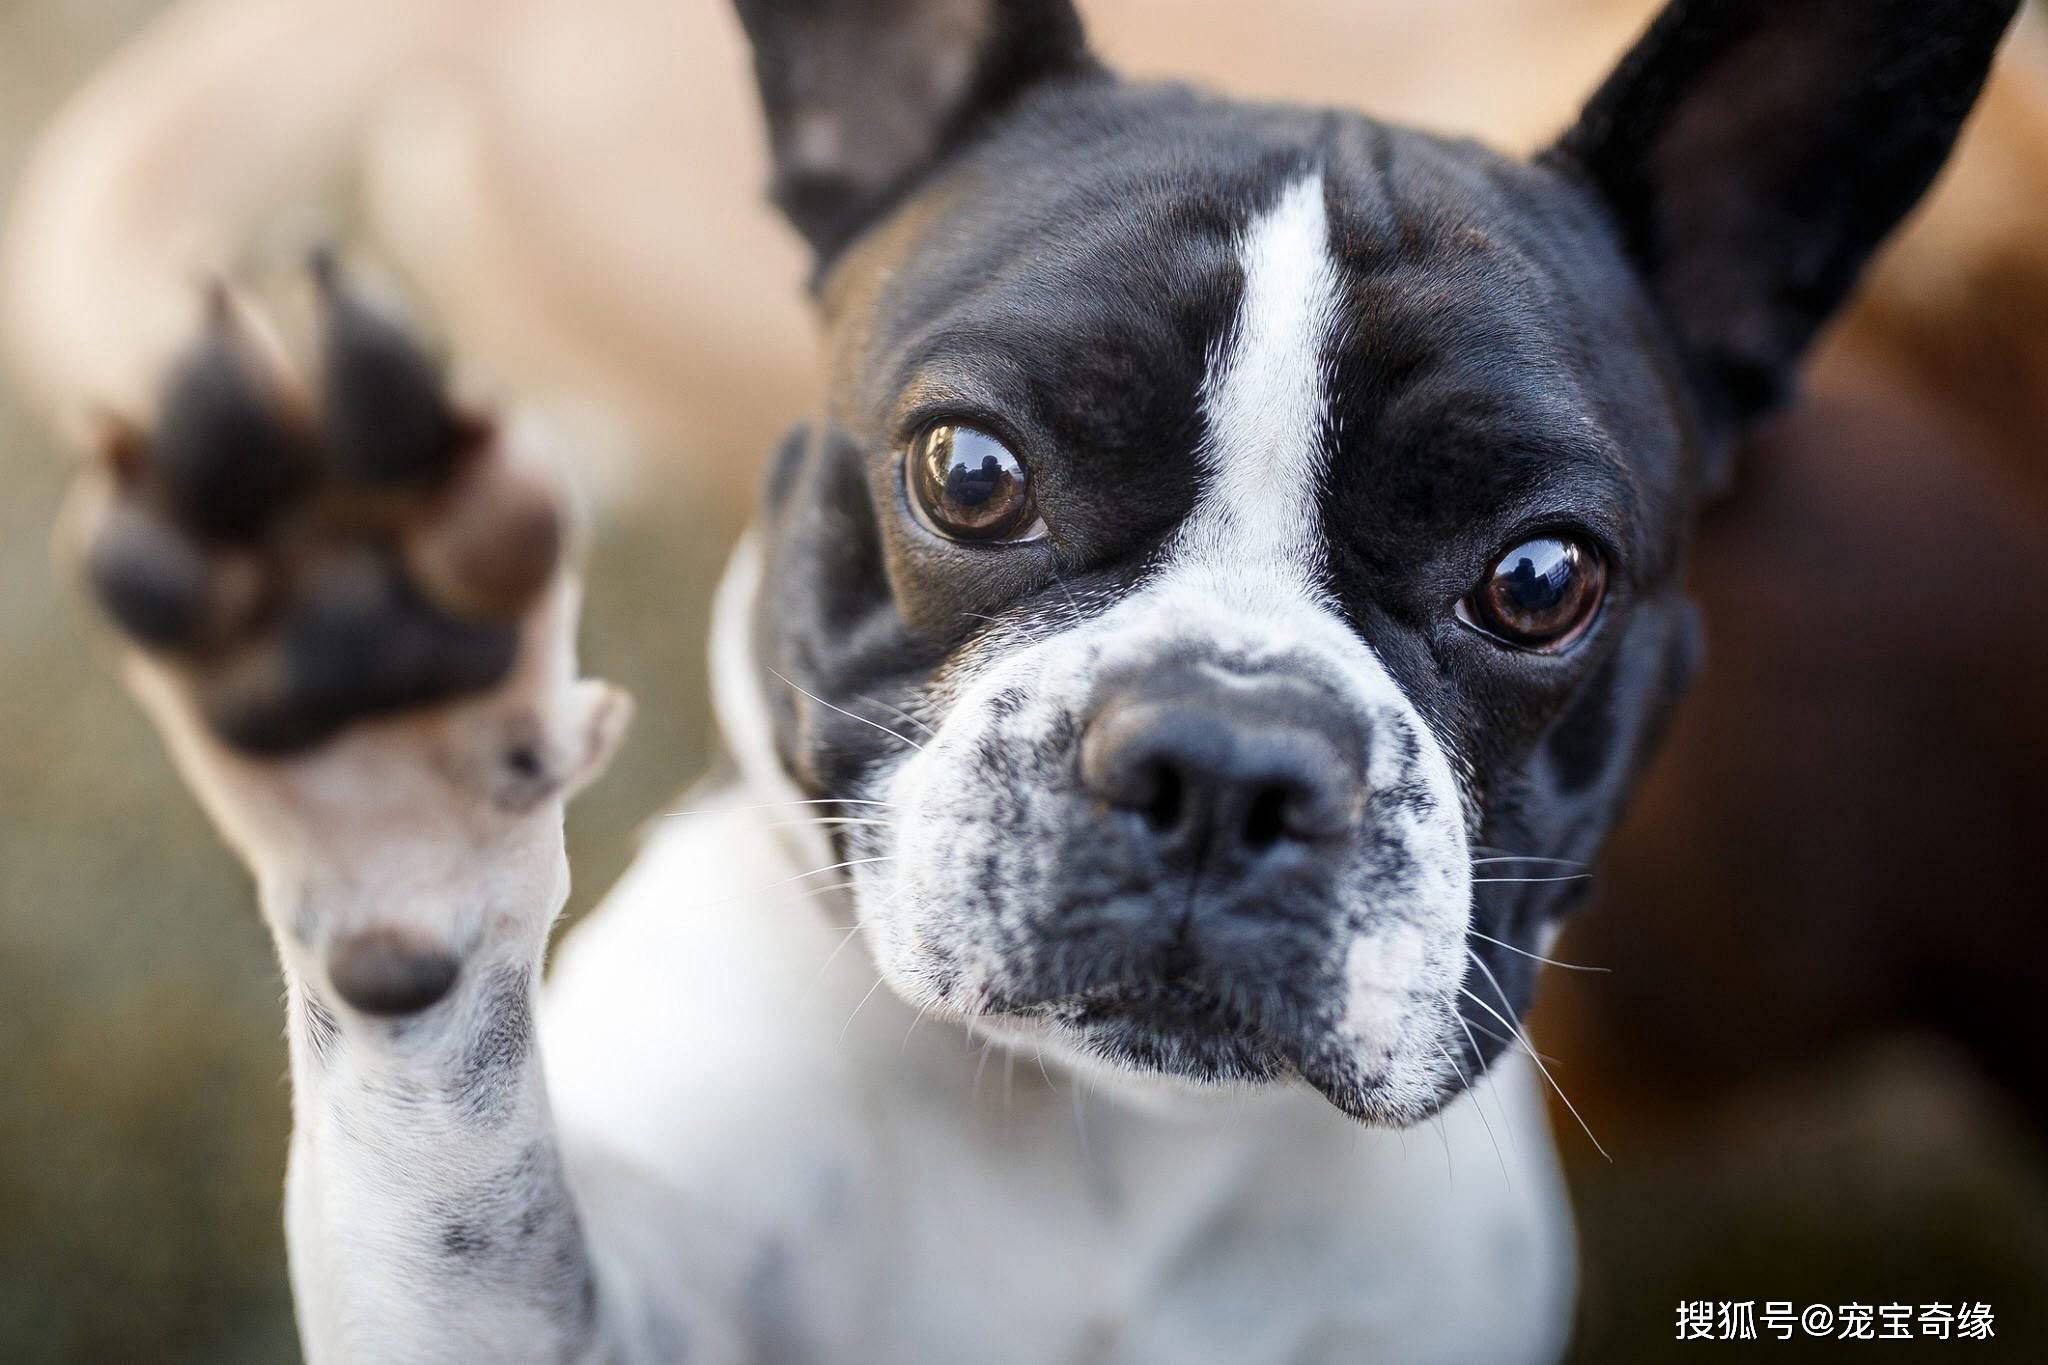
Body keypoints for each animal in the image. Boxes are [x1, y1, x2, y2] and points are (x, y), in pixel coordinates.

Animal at [4, 5, 2048, 1358]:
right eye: (970, 473)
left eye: (1542, 581)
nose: (1227, 762)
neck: (1094, 1150)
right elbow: (464, 1168)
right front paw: (388, 750)